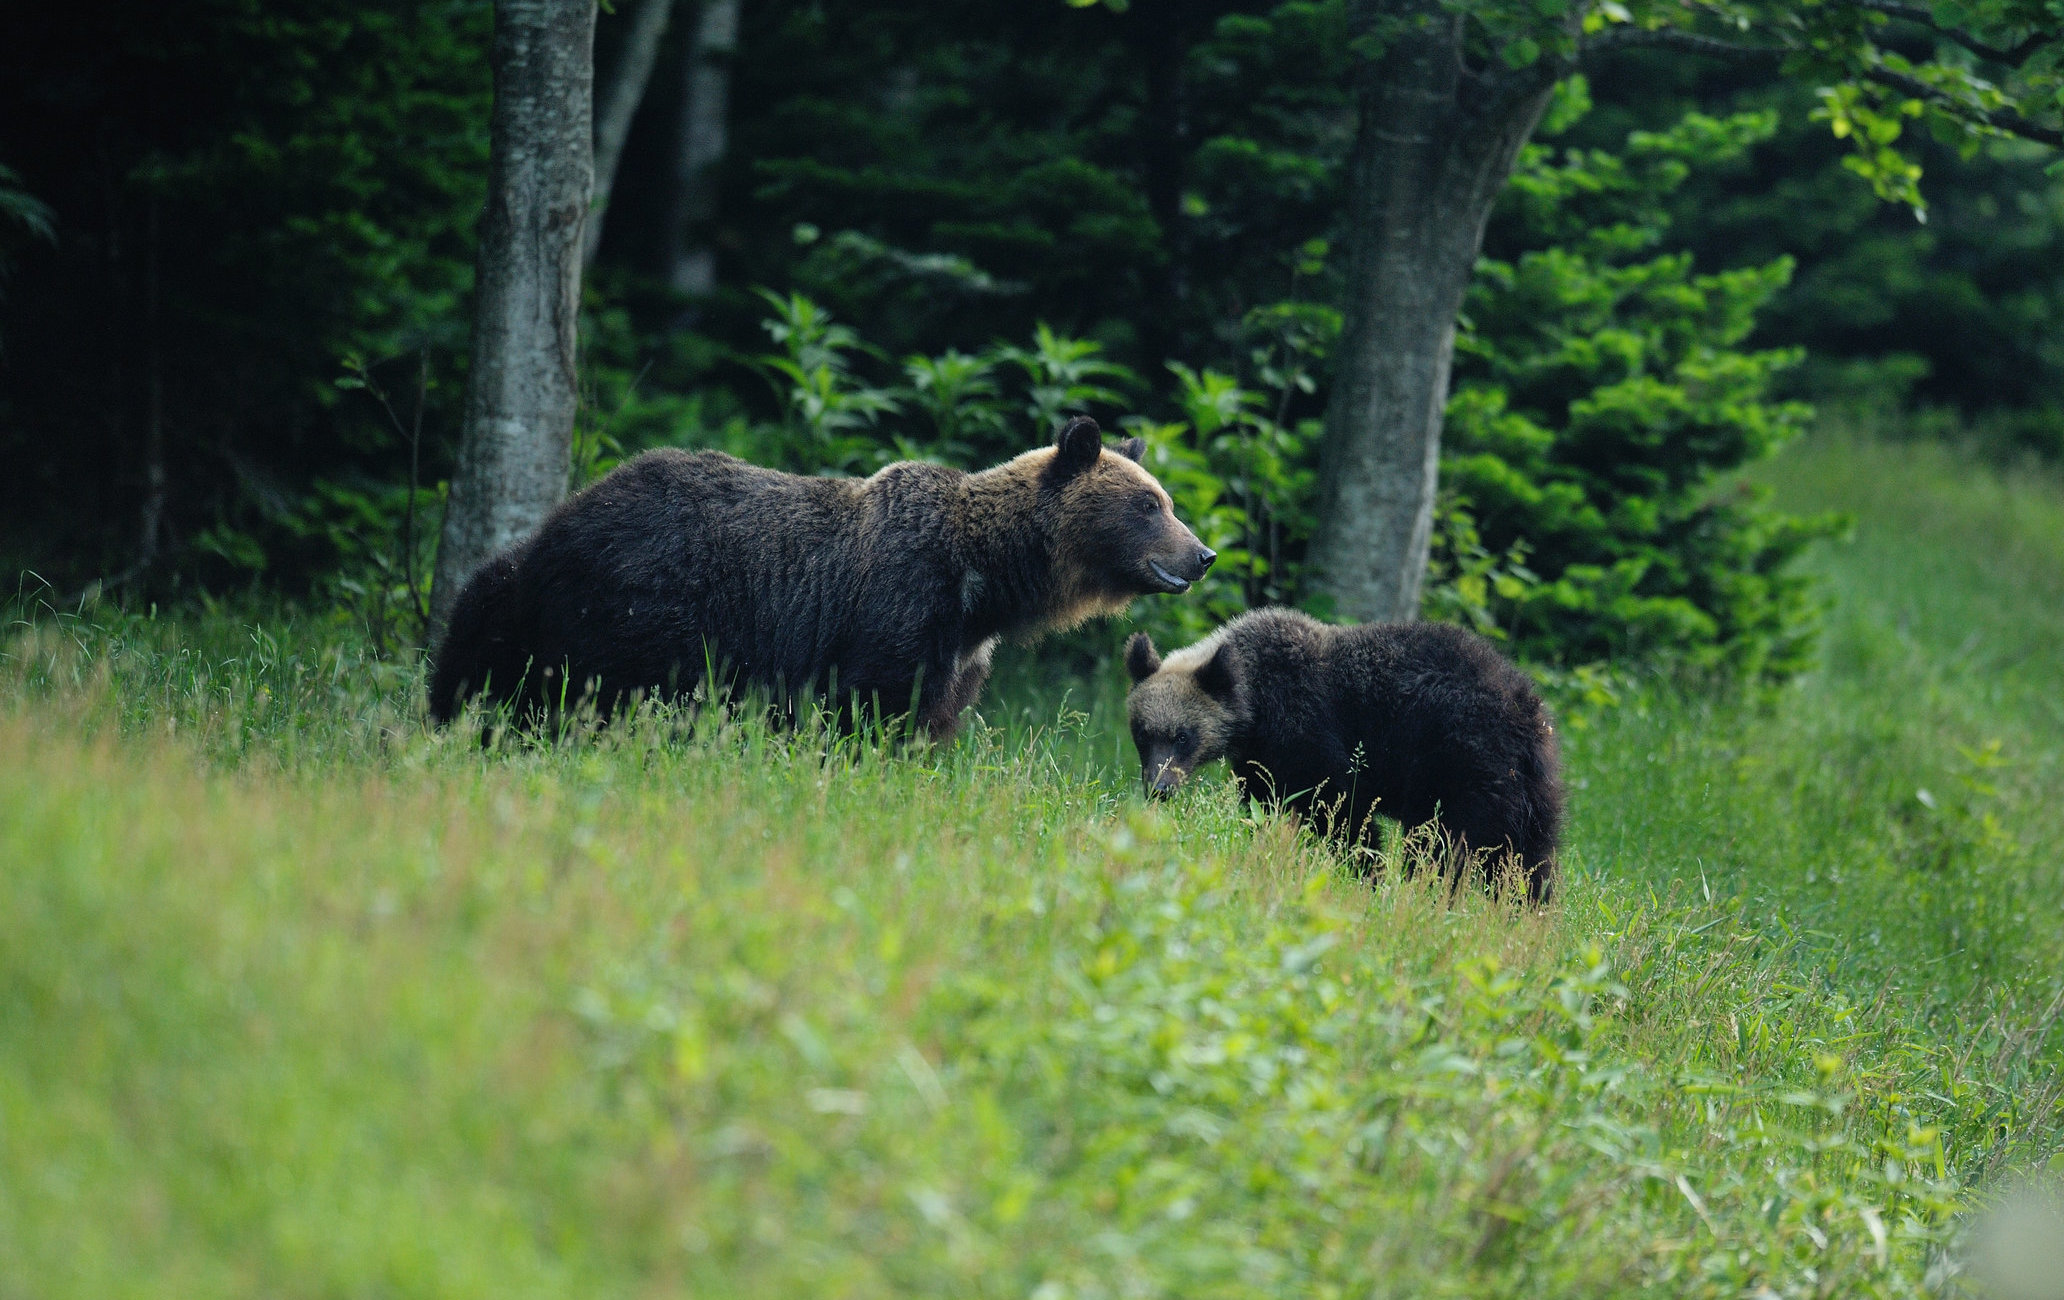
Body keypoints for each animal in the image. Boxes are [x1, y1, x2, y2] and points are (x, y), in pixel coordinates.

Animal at [431, 420, 1205, 738]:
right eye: (1148, 504)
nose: (1202, 555)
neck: (984, 581)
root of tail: (564, 520)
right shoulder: (897, 603)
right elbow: (872, 704)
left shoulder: (959, 649)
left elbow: (934, 714)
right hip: (642, 607)